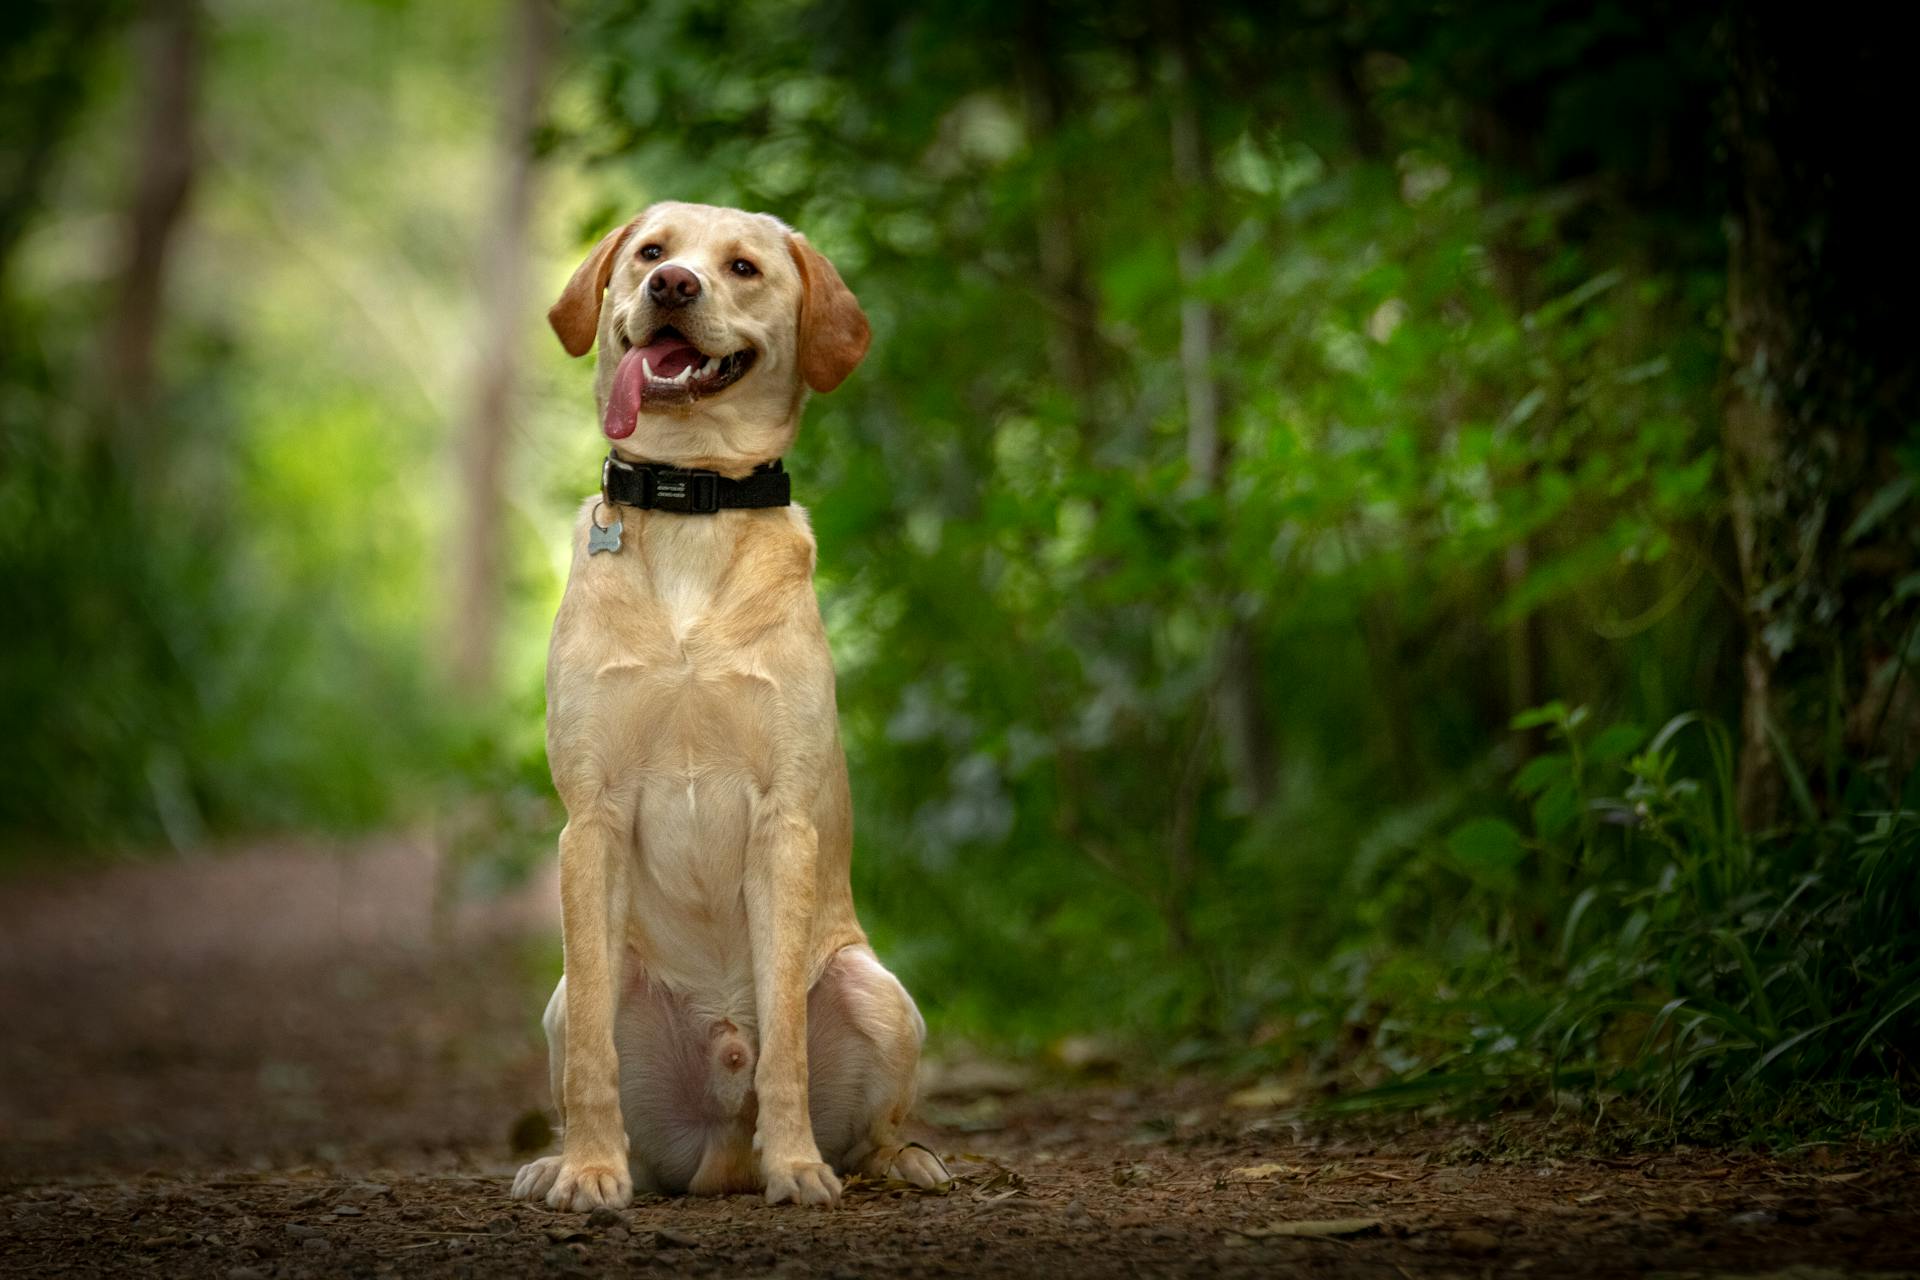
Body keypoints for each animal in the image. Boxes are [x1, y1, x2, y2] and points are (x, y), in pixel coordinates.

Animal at [510, 202, 944, 1212]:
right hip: (563, 999)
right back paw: (566, 1158)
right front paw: (591, 1171)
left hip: (880, 994)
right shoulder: (591, 818)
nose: (674, 287)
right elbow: (590, 1059)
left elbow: (784, 1038)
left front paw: (797, 1166)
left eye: (743, 267)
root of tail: (718, 1150)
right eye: (651, 253)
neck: (691, 506)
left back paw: (896, 1162)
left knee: (873, 1126)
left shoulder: (783, 822)